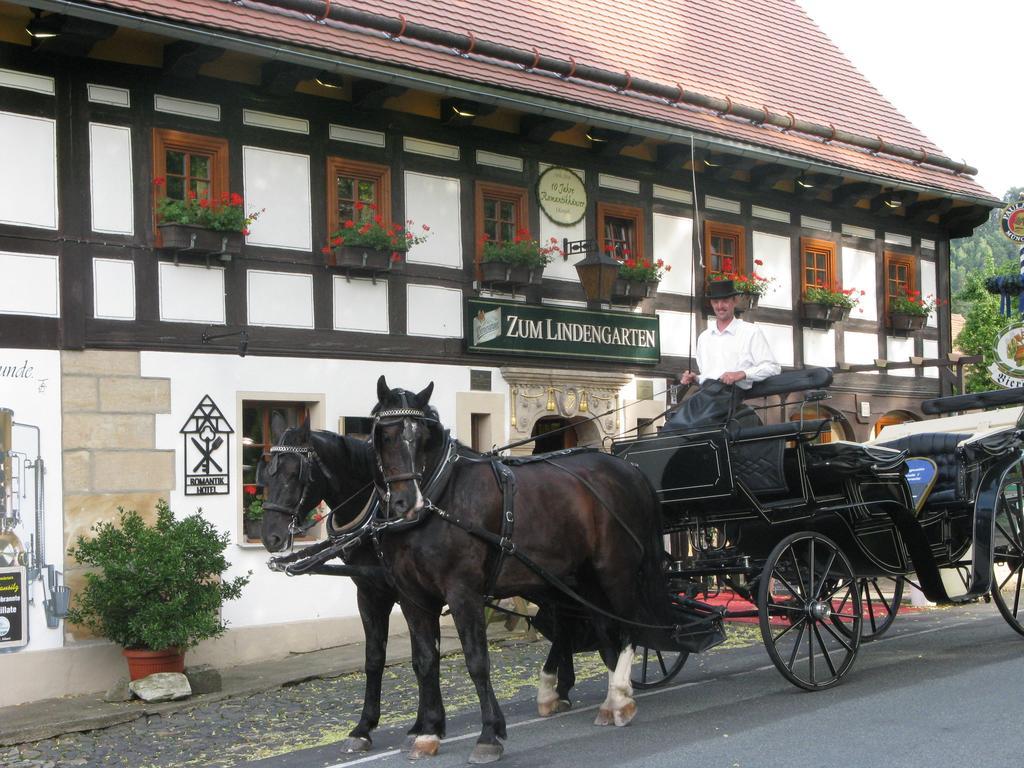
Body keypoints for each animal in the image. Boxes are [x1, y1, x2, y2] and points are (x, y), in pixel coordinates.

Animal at [372, 378, 692, 765]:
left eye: (422, 436)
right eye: (383, 434)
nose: (407, 503)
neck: (441, 497)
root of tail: (629, 470)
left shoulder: (463, 593)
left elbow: (477, 661)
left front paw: (489, 734)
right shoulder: (413, 597)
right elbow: (424, 661)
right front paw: (428, 732)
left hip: (615, 570)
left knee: (629, 625)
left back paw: (618, 697)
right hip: (584, 578)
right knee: (601, 627)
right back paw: (606, 697)